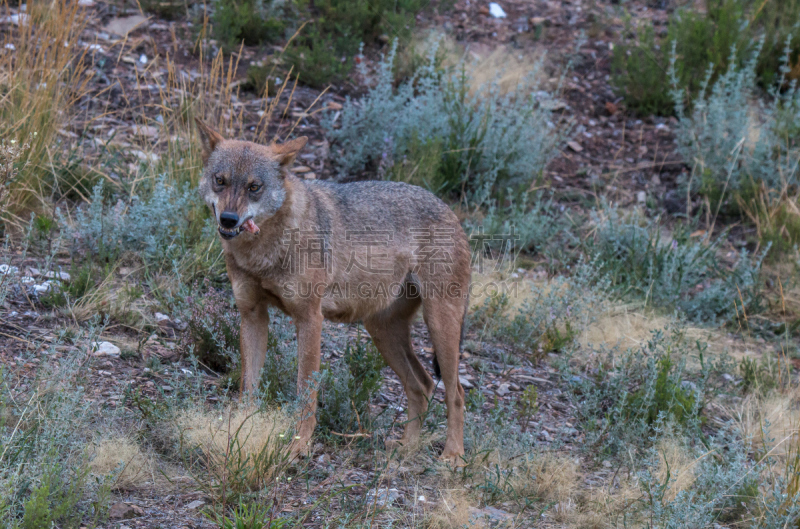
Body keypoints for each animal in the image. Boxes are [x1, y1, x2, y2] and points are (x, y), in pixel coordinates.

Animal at [195, 119, 468, 462]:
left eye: (254, 187)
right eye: (220, 181)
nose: (229, 219)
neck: (264, 252)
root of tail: (451, 211)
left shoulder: (310, 319)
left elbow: (305, 393)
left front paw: (298, 446)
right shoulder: (252, 315)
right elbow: (249, 387)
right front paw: (242, 431)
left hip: (439, 325)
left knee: (455, 393)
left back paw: (453, 456)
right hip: (382, 330)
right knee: (423, 384)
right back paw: (407, 447)